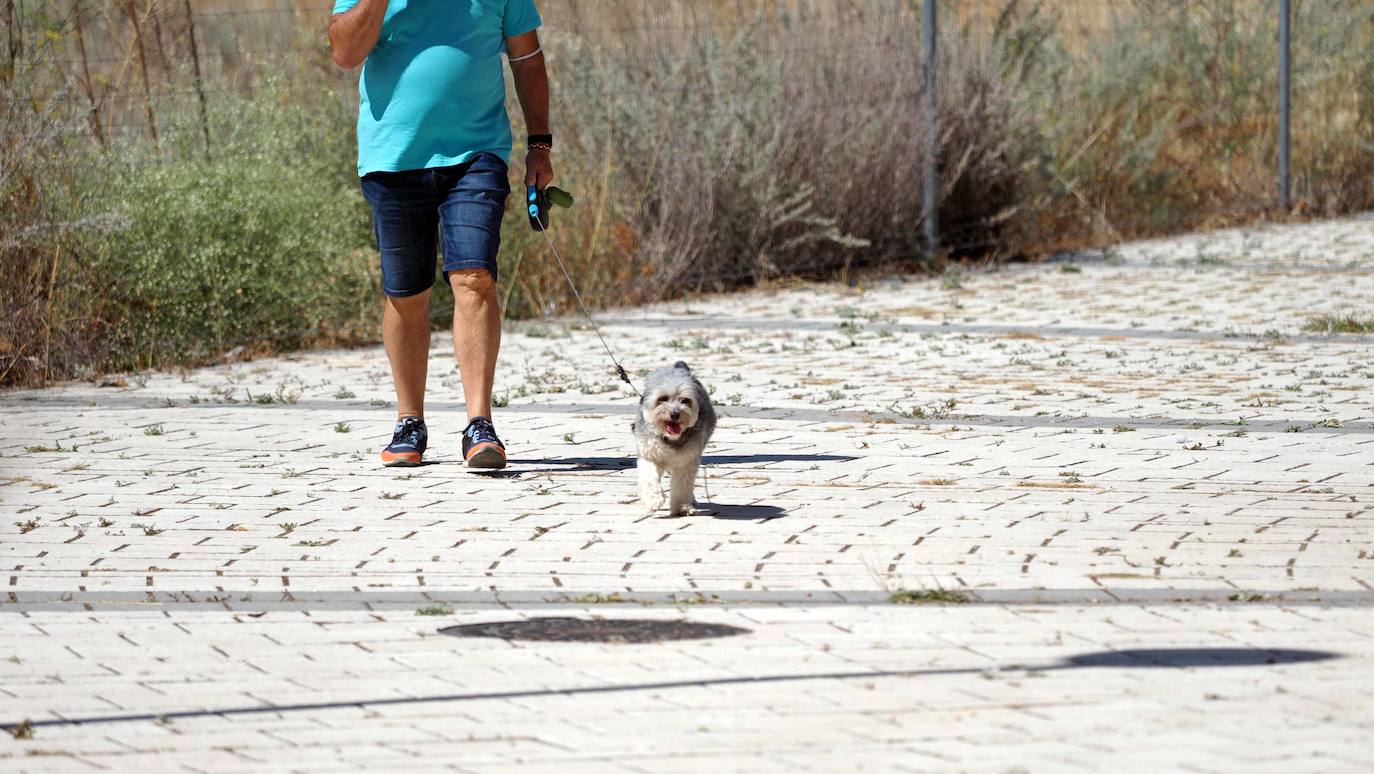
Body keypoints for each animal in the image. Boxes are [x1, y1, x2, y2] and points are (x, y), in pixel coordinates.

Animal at [632, 362, 719, 516]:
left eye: (685, 400)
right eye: (662, 398)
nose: (675, 414)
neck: (670, 438)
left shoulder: (687, 461)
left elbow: (683, 485)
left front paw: (682, 506)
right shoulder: (649, 455)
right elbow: (649, 479)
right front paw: (654, 500)